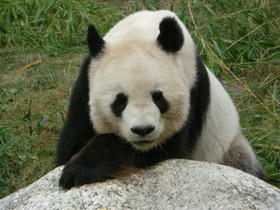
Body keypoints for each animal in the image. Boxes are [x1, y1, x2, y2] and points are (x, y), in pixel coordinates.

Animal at [55, 10, 268, 189]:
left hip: (230, 150)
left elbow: (166, 150)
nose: (143, 130)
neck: (141, 31)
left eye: (158, 97)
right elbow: (70, 146)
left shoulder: (193, 89)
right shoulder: (85, 85)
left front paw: (80, 169)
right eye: (120, 100)